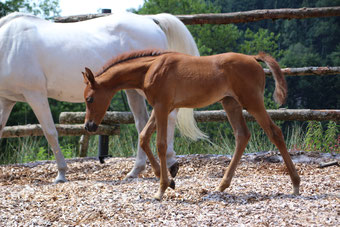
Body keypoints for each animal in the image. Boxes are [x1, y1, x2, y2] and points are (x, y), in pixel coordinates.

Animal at [0, 12, 205, 183]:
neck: (8, 46)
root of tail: (149, 20)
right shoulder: (6, 100)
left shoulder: (35, 94)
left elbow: (50, 132)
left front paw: (61, 174)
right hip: (133, 90)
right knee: (142, 123)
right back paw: (136, 171)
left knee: (169, 116)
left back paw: (170, 163)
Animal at [83, 50, 300, 200]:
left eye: (90, 99)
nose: (89, 126)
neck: (150, 69)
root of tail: (253, 58)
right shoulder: (161, 108)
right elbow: (144, 137)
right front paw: (169, 181)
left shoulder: (162, 107)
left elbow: (160, 144)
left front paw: (161, 189)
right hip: (230, 103)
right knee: (242, 135)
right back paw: (222, 185)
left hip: (252, 102)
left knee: (275, 132)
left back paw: (296, 185)